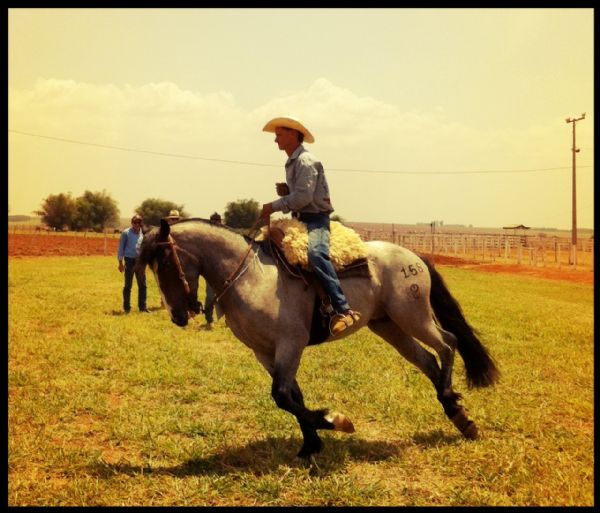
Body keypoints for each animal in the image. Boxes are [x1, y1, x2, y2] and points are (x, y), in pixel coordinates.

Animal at [138, 218, 500, 458]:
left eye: (165, 262)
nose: (177, 315)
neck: (251, 276)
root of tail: (414, 256)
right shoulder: (265, 352)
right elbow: (292, 396)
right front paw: (312, 443)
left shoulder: (291, 343)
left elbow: (282, 396)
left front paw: (335, 422)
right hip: (389, 326)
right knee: (427, 359)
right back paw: (459, 415)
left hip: (413, 317)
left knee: (448, 343)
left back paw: (452, 400)